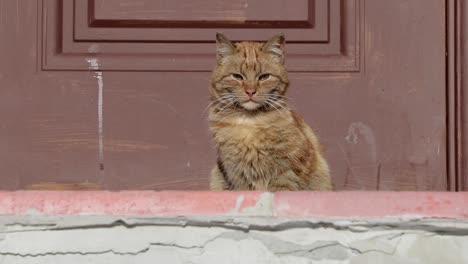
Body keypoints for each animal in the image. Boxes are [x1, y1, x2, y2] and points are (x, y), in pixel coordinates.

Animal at [208, 33, 332, 191]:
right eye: (237, 76)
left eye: (264, 77)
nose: (250, 91)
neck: (250, 122)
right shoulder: (236, 173)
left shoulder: (287, 170)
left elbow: (282, 189)